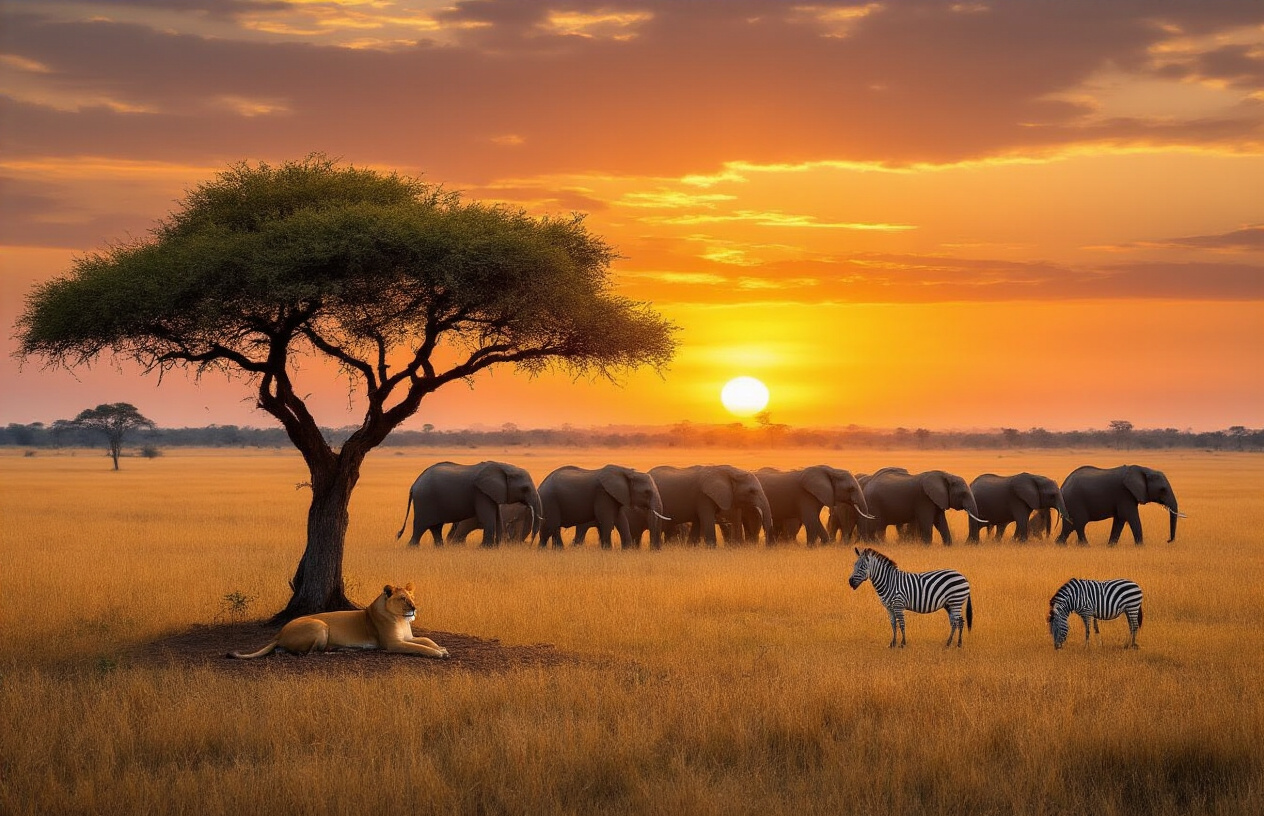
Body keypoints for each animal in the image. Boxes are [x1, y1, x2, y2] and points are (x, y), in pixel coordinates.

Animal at [228, 583, 450, 659]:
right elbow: (420, 647)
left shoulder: (406, 637)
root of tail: (279, 633)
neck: (401, 619)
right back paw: (339, 652)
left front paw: (442, 648)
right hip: (320, 625)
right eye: (403, 599)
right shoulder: (392, 644)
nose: (414, 608)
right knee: (310, 653)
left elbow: (426, 640)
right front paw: (438, 653)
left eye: (412, 597)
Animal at [395, 461, 542, 547]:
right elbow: (488, 518)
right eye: (525, 489)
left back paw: (440, 548)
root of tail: (414, 485)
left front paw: (496, 547)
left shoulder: (491, 493)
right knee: (421, 526)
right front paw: (486, 548)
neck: (503, 467)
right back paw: (413, 547)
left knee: (436, 527)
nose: (530, 544)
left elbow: (497, 518)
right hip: (424, 501)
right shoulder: (481, 493)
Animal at [537, 465, 667, 549]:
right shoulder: (603, 494)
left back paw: (556, 550)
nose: (655, 549)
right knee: (550, 526)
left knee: (554, 528)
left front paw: (627, 550)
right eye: (646, 492)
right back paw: (544, 551)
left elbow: (622, 521)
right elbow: (607, 522)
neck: (627, 472)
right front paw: (607, 550)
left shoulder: (615, 496)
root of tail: (540, 486)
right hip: (550, 500)